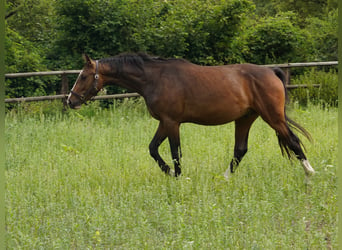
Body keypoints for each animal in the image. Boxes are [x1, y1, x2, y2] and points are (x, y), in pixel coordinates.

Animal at [67, 52, 316, 179]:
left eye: (83, 76)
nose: (71, 101)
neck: (155, 78)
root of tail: (270, 71)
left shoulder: (172, 122)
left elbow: (175, 152)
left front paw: (178, 177)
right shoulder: (164, 122)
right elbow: (153, 149)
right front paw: (170, 173)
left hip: (272, 117)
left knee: (293, 141)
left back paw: (310, 173)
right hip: (245, 118)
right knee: (240, 149)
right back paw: (223, 178)